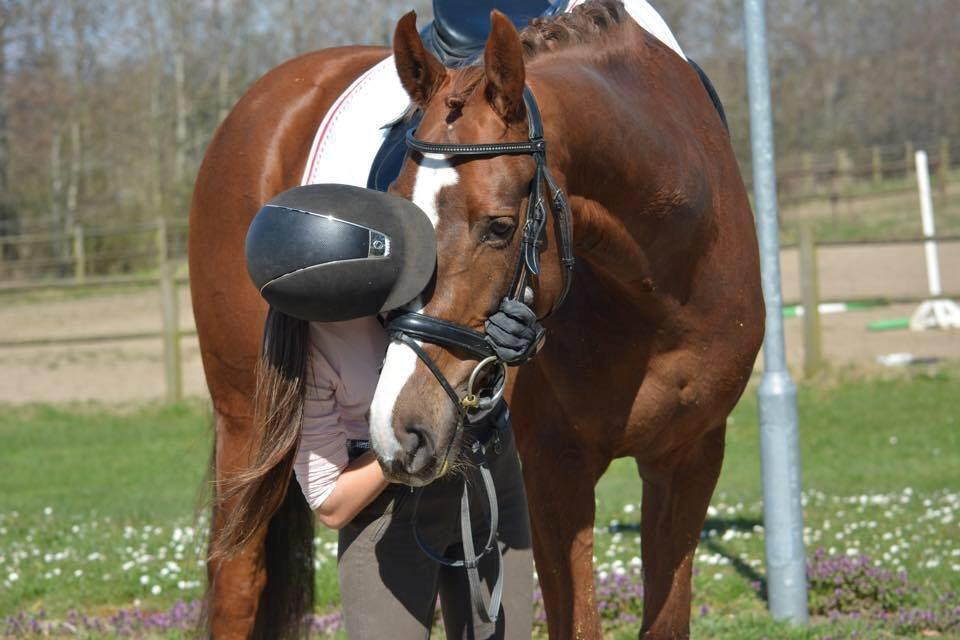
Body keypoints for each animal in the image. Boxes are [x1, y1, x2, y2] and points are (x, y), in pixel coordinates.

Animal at [189, 2, 764, 636]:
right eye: (397, 212)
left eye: (500, 226)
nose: (400, 428)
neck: (661, 292)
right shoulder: (556, 473)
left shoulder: (690, 460)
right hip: (247, 419)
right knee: (238, 578)